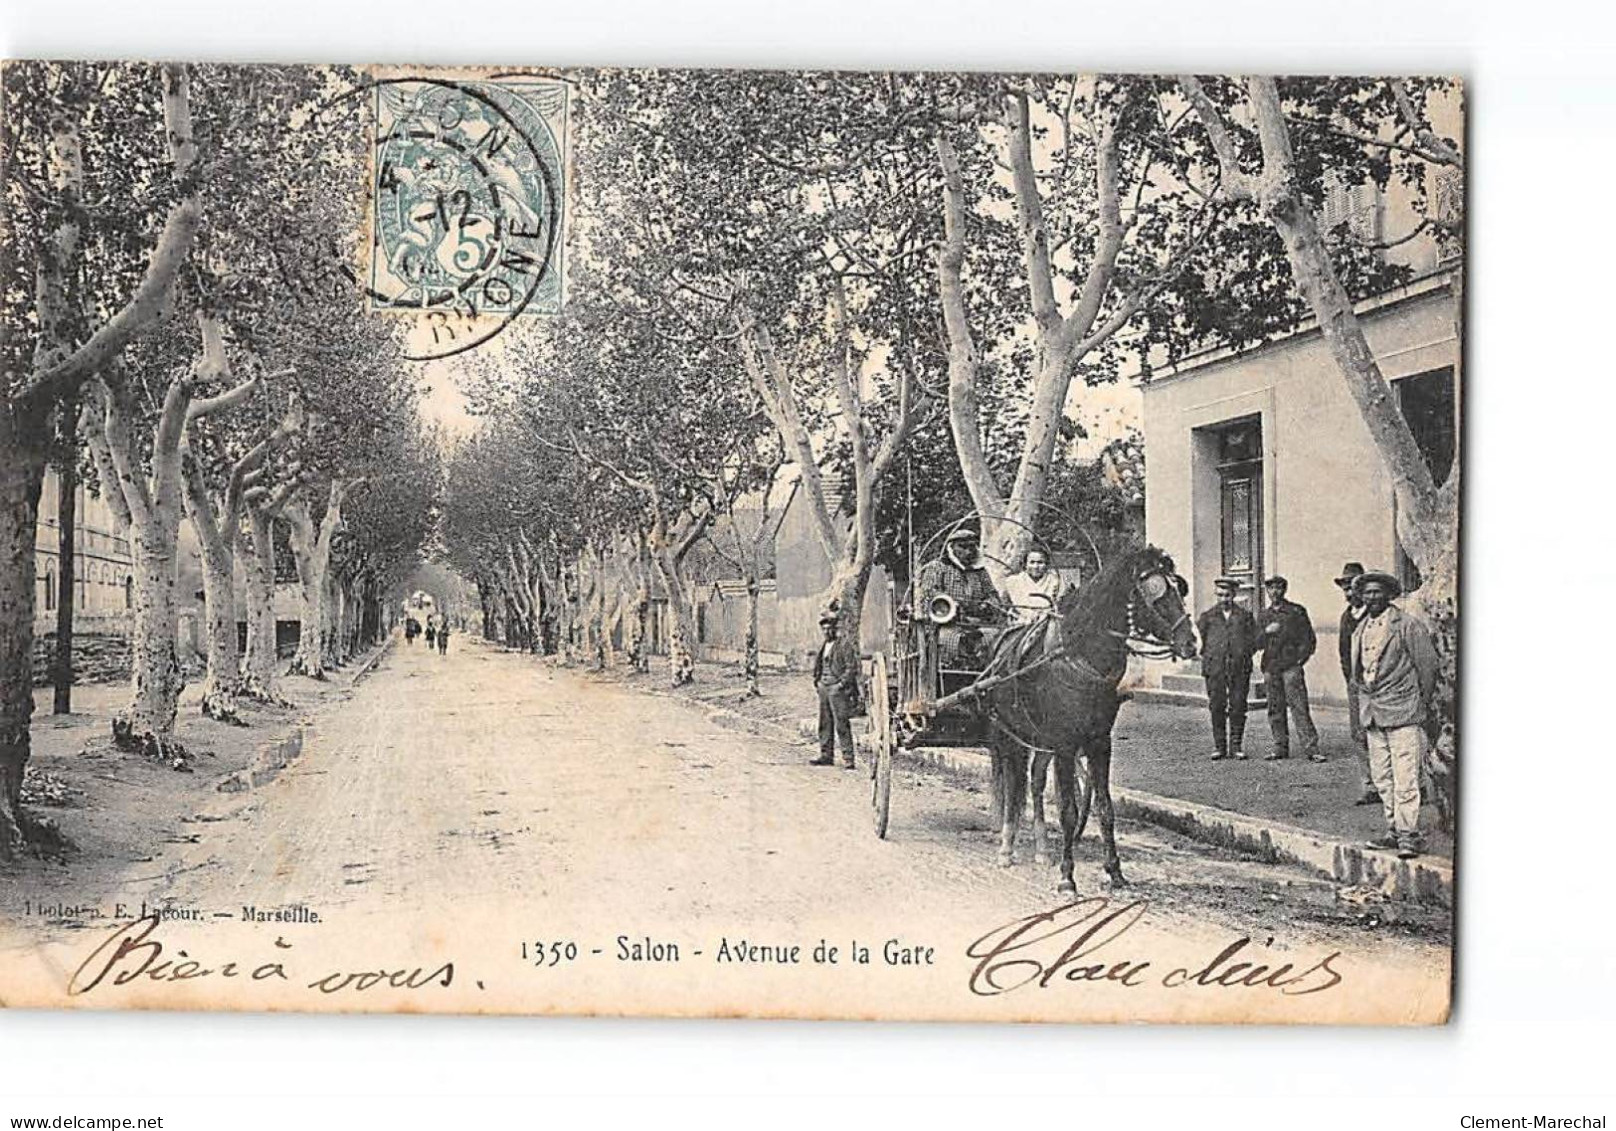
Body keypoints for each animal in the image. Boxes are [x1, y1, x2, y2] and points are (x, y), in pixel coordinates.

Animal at [969, 546, 1202, 891]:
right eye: (1156, 594)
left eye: (1179, 588)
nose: (1191, 642)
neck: (1080, 655)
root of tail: (997, 647)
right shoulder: (1066, 746)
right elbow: (1068, 810)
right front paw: (1067, 876)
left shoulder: (1098, 743)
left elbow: (1105, 808)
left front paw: (1115, 871)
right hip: (1009, 736)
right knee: (1014, 784)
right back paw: (1007, 847)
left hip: (1040, 740)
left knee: (1034, 782)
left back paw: (1041, 849)